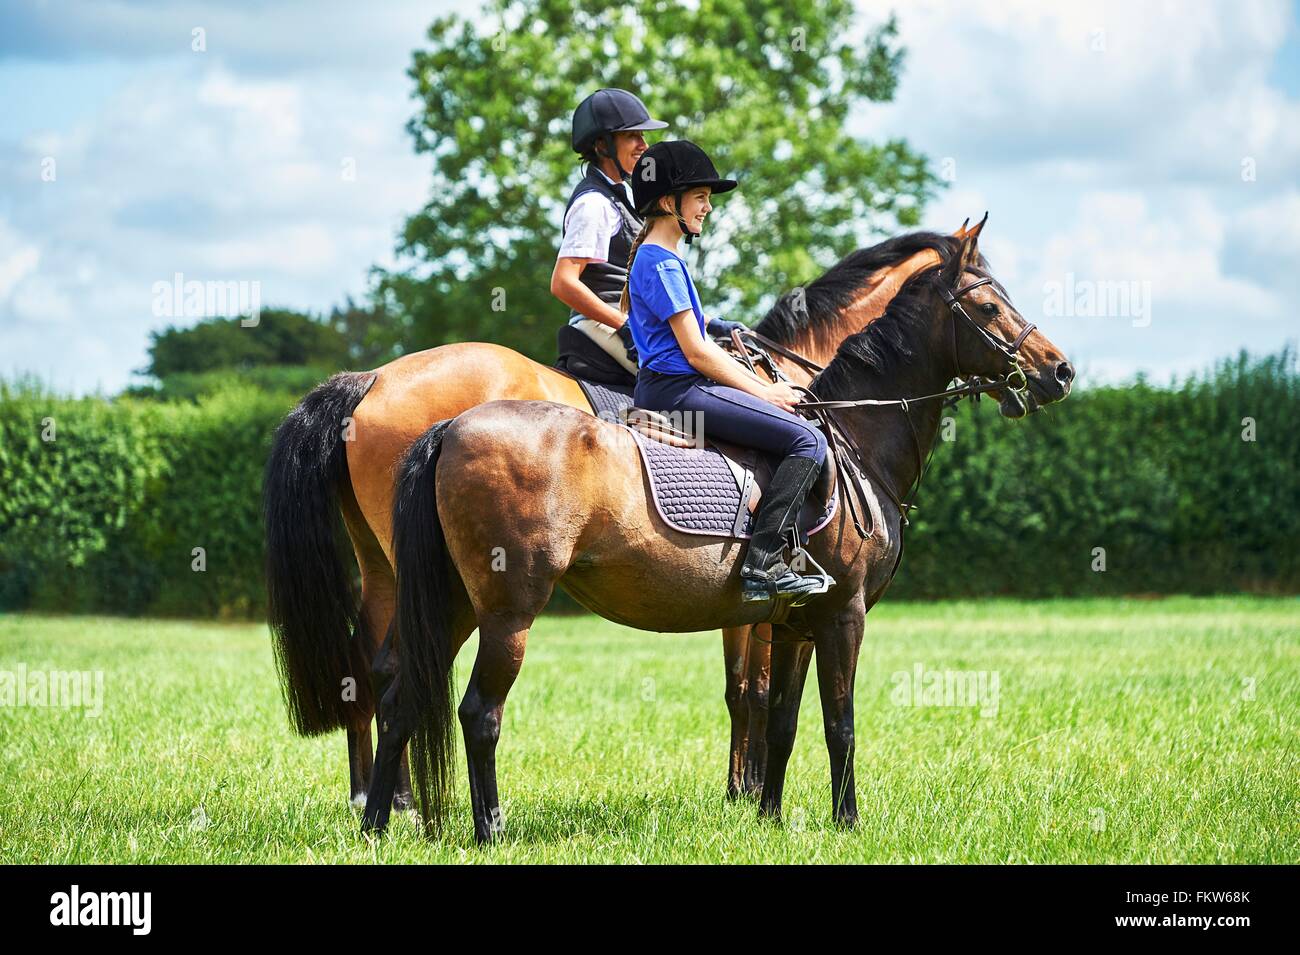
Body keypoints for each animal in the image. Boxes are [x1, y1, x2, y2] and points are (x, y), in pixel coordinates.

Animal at [261, 229, 956, 805]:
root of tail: (373, 378)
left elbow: (753, 694)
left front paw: (750, 794)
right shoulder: (784, 606)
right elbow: (756, 693)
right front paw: (750, 792)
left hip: (393, 567)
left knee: (377, 669)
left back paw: (383, 802)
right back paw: (401, 804)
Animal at [361, 220, 1071, 841]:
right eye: (991, 305)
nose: (1059, 371)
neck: (852, 435)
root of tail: (451, 427)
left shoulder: (795, 623)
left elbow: (781, 718)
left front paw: (771, 815)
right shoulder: (842, 614)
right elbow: (835, 721)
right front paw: (845, 822)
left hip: (453, 602)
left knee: (399, 696)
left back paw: (375, 825)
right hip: (508, 611)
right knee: (479, 713)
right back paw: (487, 830)